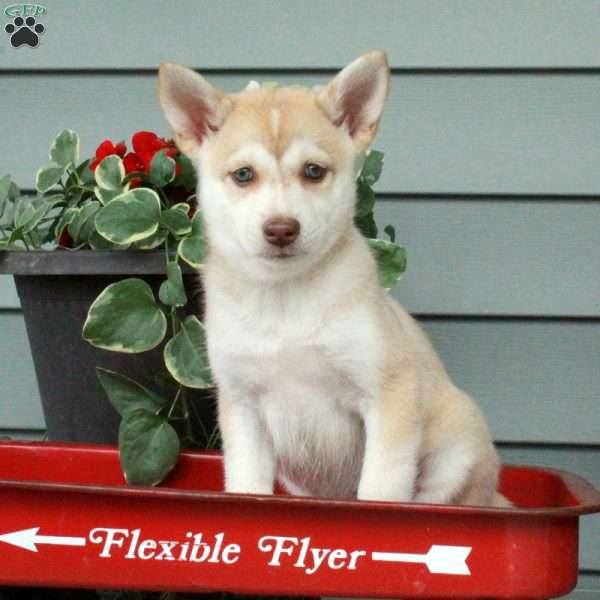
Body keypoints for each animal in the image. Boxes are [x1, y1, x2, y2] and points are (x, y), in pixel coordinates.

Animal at [158, 50, 506, 506]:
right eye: (243, 174)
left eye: (313, 171)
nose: (281, 229)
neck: (284, 300)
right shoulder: (242, 406)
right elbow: (247, 486)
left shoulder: (387, 395)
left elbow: (380, 490)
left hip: (455, 448)